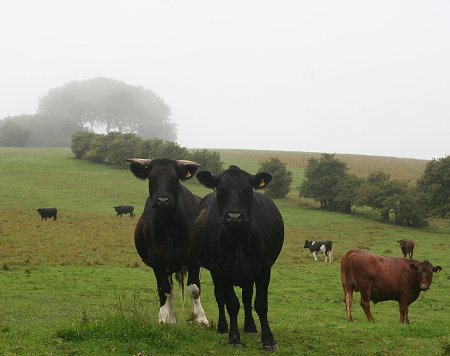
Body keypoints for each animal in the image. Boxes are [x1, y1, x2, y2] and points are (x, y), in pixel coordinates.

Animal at [125, 159, 209, 326]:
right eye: (152, 178)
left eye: (174, 179)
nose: (162, 201)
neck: (169, 225)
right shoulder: (157, 262)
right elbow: (165, 289)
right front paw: (165, 317)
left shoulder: (193, 260)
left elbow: (194, 289)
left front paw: (200, 317)